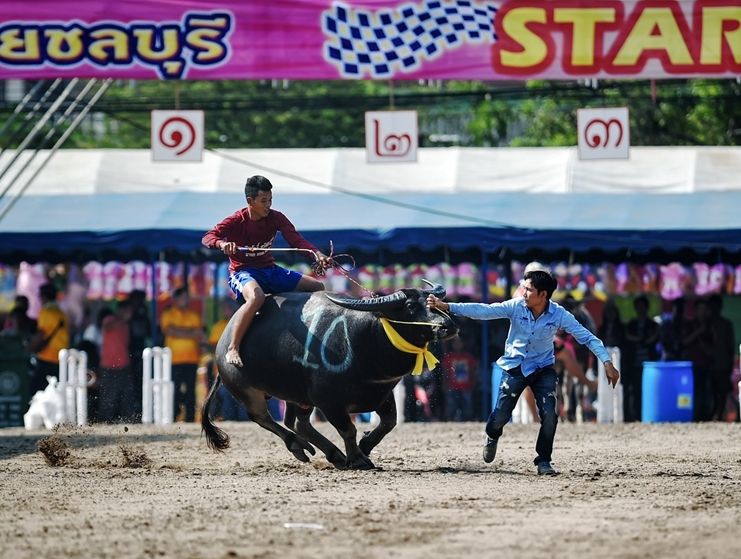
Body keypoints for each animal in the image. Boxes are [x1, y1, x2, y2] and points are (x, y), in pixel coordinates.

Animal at [202, 282, 456, 470]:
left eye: (431, 300)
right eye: (411, 306)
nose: (447, 325)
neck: (364, 339)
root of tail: (223, 343)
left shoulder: (382, 394)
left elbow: (389, 423)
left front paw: (365, 446)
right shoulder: (329, 402)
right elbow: (348, 429)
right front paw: (358, 459)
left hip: (298, 396)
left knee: (297, 423)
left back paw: (334, 454)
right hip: (248, 391)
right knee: (262, 418)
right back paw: (299, 447)